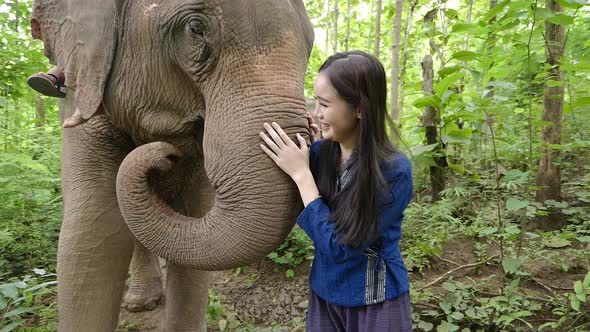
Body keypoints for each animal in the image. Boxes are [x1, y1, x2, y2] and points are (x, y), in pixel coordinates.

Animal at [28, 0, 314, 330]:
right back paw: (140, 303)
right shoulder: (83, 100)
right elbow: (93, 234)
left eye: (310, 47)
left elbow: (194, 212)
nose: (165, 155)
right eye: (195, 29)